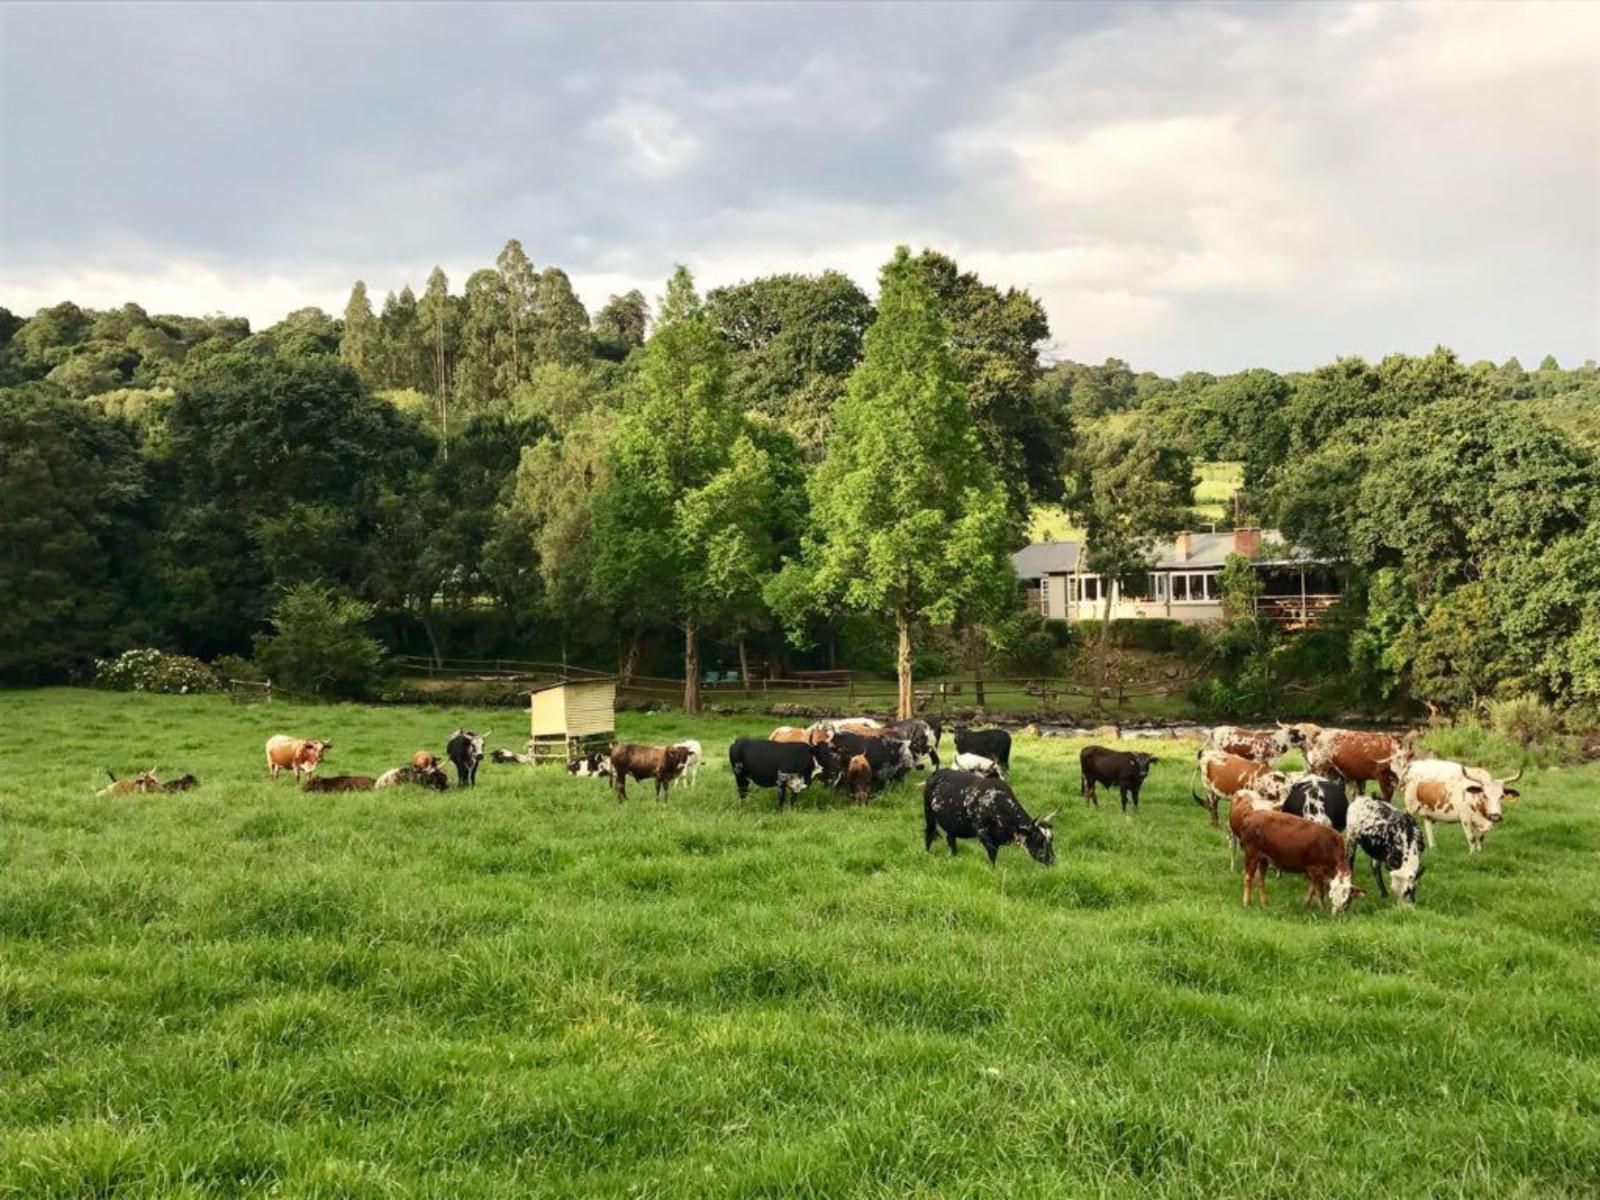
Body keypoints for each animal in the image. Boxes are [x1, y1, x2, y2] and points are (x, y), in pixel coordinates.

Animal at [921, 774, 1056, 870]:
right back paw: (927, 854)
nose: (1052, 860)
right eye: (1038, 839)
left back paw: (954, 856)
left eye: (1051, 839)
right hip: (929, 814)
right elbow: (992, 856)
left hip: (952, 824)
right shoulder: (983, 834)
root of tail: (936, 773)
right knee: (929, 833)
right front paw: (993, 871)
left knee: (950, 839)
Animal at [1235, 803, 1363, 915]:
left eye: (1347, 900)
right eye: (1332, 896)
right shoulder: (1315, 869)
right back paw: (1247, 903)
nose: (1337, 914)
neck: (1330, 846)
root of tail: (1251, 814)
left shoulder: (1313, 871)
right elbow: (1319, 891)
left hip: (1263, 858)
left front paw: (1305, 905)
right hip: (1252, 854)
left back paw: (1264, 904)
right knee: (1247, 877)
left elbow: (1312, 889)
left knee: (1260, 879)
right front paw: (1323, 910)